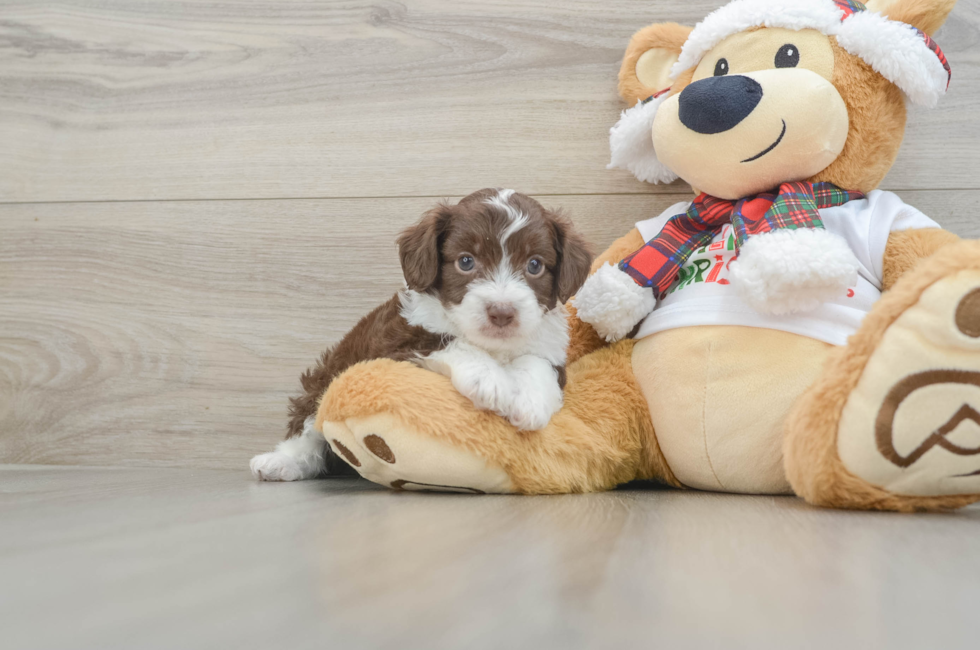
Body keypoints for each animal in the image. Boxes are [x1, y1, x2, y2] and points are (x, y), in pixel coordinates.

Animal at [251, 189, 588, 480]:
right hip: (327, 376)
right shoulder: (395, 343)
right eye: (466, 261)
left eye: (535, 265)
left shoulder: (549, 344)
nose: (502, 312)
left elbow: (537, 363)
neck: (493, 345)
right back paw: (279, 462)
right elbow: (447, 341)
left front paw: (530, 402)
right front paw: (492, 383)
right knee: (308, 426)